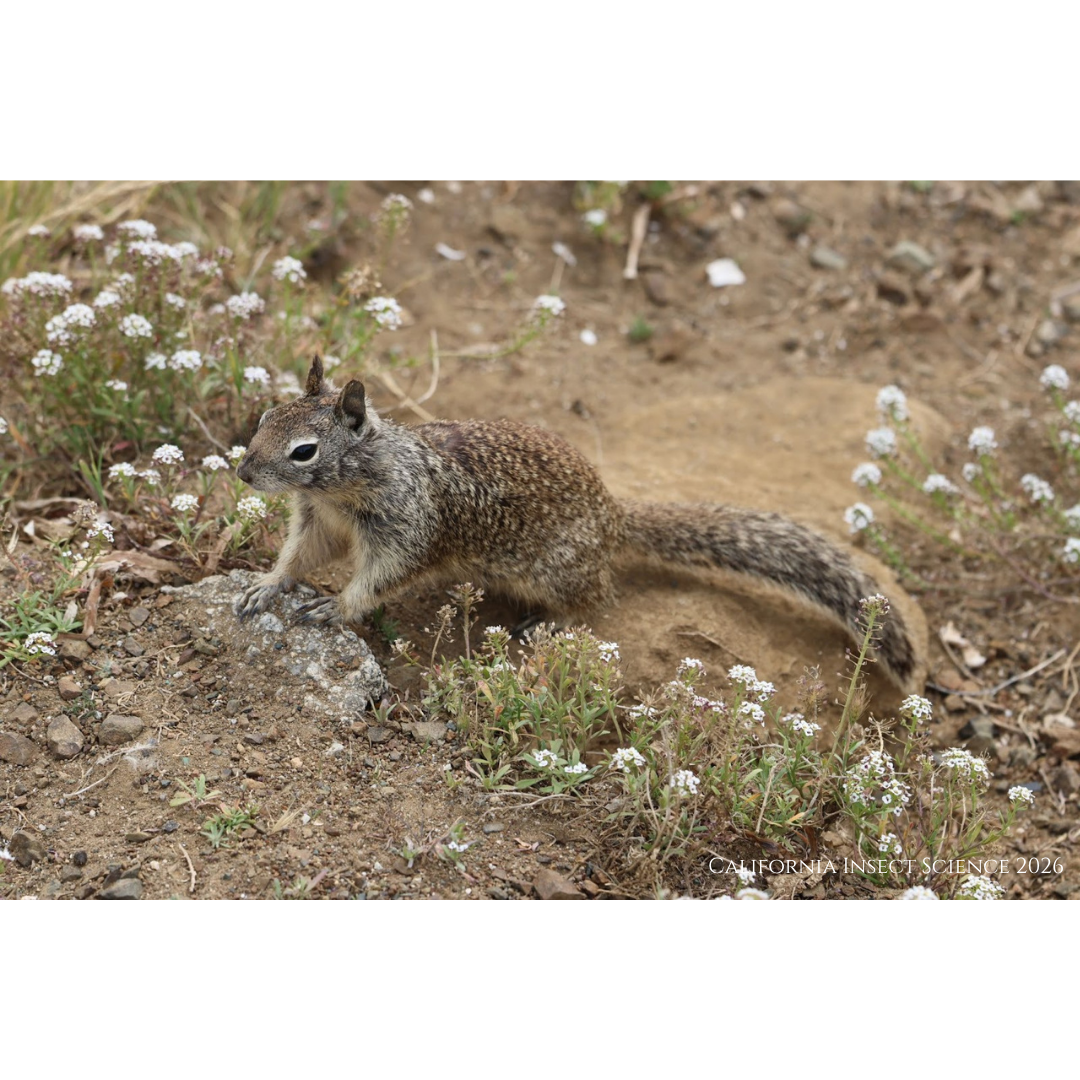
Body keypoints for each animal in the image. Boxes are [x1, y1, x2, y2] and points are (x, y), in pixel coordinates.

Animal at [235, 357, 919, 691]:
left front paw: (335, 607)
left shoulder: (407, 529)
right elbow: (299, 557)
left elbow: (377, 580)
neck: (349, 483)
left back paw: (543, 624)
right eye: (264, 415)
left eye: (304, 452)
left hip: (556, 572)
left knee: (594, 598)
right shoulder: (318, 520)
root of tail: (615, 517)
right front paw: (265, 585)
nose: (242, 472)